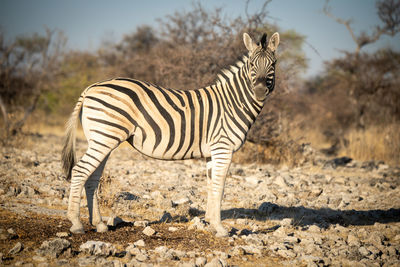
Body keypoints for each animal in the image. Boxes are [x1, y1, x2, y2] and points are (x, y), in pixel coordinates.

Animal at [62, 32, 280, 238]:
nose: (260, 91)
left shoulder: (212, 152)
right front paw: (220, 228)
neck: (233, 103)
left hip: (102, 138)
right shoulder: (223, 148)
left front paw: (210, 222)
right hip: (104, 137)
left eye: (273, 64)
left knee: (92, 177)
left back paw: (99, 224)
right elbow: (220, 186)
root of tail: (91, 87)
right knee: (80, 170)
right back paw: (76, 223)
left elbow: (212, 184)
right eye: (251, 64)